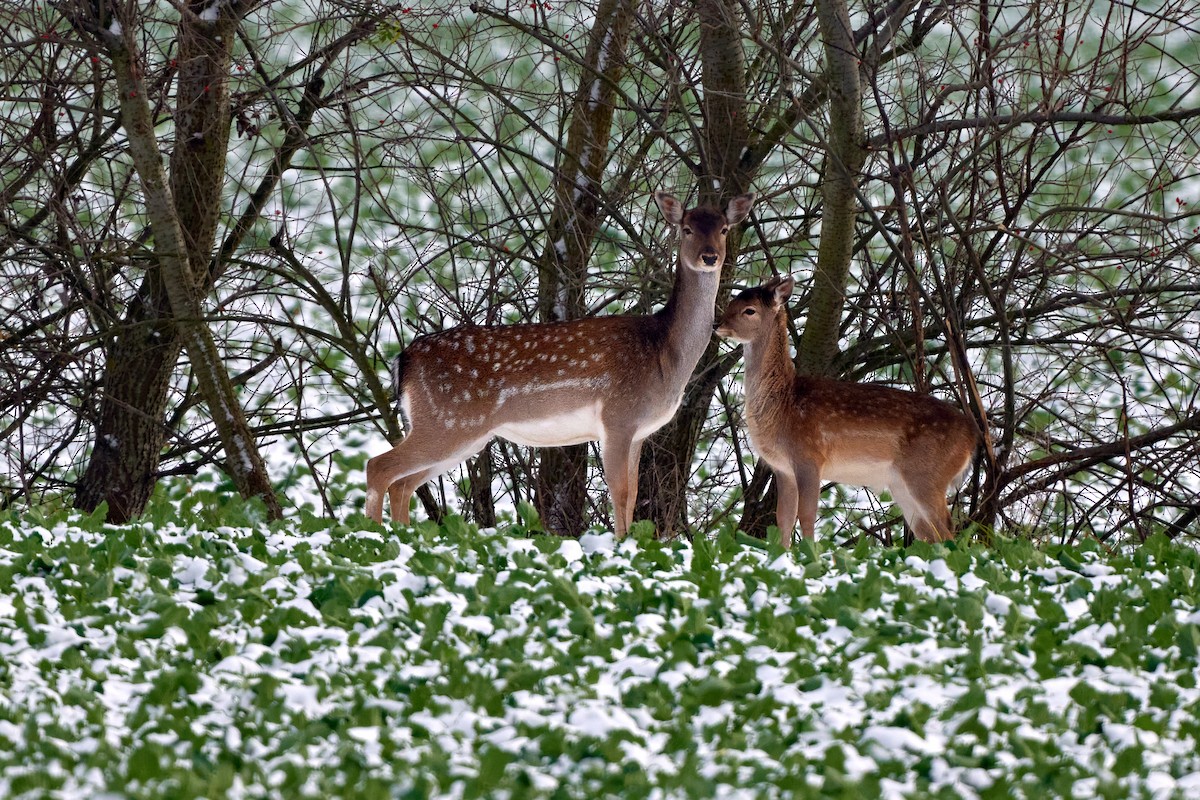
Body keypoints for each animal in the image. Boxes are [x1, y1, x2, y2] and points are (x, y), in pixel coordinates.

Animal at [366, 190, 756, 536]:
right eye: (687, 228)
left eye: (724, 229)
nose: (710, 256)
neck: (664, 354)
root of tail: (404, 359)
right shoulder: (618, 417)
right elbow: (620, 492)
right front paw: (622, 546)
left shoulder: (639, 431)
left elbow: (631, 496)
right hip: (448, 421)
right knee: (378, 467)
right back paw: (373, 539)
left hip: (460, 433)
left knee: (403, 483)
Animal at [715, 275, 978, 547]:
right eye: (732, 301)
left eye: (749, 310)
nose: (717, 323)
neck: (785, 403)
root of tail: (972, 437)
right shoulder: (782, 468)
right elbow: (783, 519)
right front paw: (784, 554)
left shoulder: (809, 455)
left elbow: (806, 515)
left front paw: (809, 553)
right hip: (903, 485)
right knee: (930, 534)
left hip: (929, 475)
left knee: (948, 531)